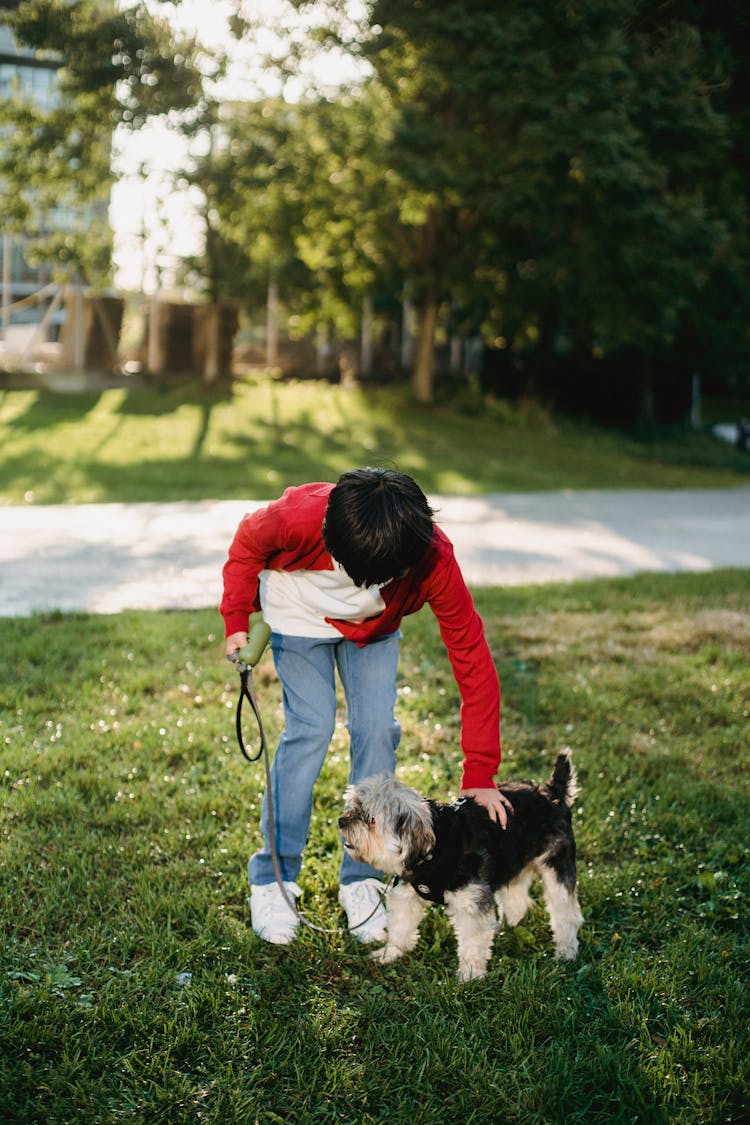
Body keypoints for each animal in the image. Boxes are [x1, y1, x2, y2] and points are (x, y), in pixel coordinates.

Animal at [337, 751, 584, 981]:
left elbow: (473, 942)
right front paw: (390, 954)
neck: (434, 848)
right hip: (511, 861)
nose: (341, 820)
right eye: (354, 806)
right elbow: (399, 928)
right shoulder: (406, 895)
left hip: (557, 865)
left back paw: (566, 951)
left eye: (370, 819)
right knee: (518, 899)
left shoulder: (471, 903)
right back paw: (506, 927)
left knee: (567, 912)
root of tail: (552, 793)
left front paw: (470, 976)